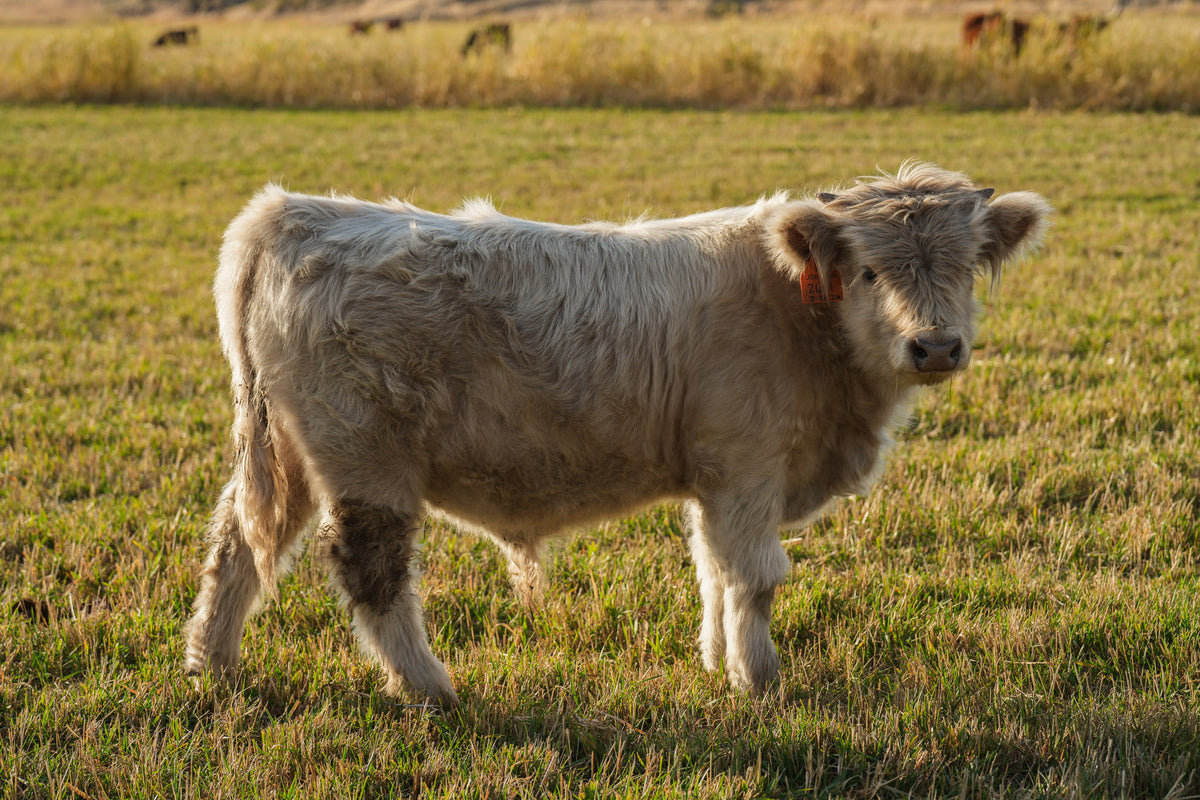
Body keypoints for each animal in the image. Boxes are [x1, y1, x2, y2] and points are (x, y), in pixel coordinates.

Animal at [183, 164, 1050, 708]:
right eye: (869, 271)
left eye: (967, 265)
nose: (934, 346)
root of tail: (298, 210)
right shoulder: (747, 469)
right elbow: (756, 577)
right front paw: (761, 683)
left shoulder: (715, 481)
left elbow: (713, 571)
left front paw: (717, 663)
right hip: (366, 460)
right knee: (372, 571)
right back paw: (430, 689)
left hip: (287, 452)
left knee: (237, 549)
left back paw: (212, 666)